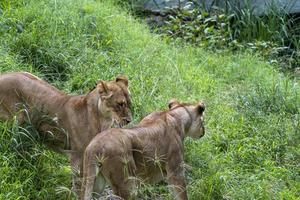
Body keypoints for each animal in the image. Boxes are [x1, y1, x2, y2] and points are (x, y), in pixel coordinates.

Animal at [0, 72, 132, 195]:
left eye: (129, 103)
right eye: (120, 104)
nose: (129, 120)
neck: (102, 120)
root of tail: (4, 75)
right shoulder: (77, 157)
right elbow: (81, 185)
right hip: (16, 121)